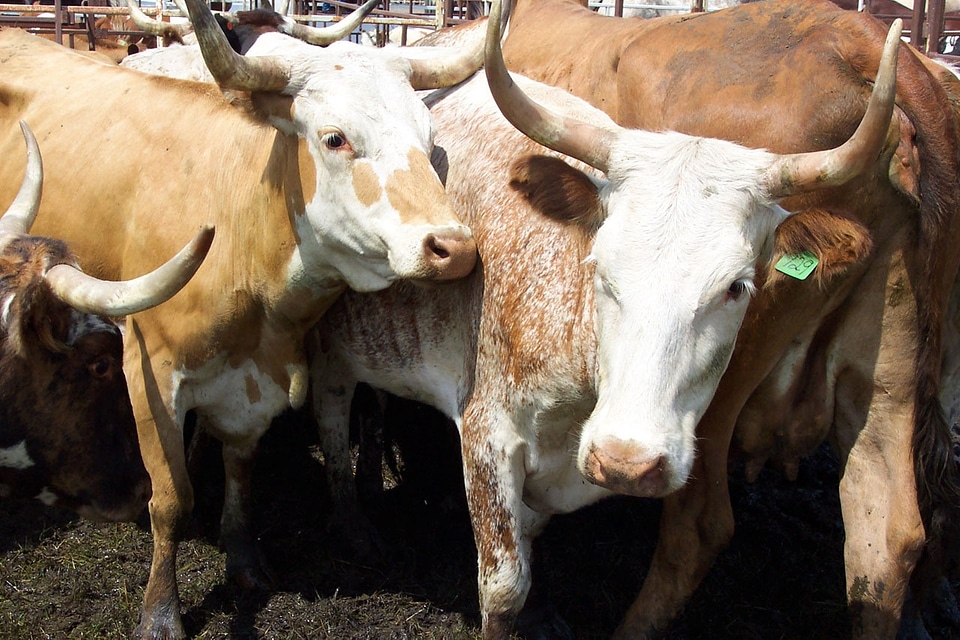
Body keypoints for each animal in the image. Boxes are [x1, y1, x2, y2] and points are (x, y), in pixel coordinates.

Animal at [310, 2, 908, 636]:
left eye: (737, 286)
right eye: (600, 265)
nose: (626, 460)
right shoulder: (487, 435)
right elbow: (503, 587)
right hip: (329, 354)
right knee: (333, 419)